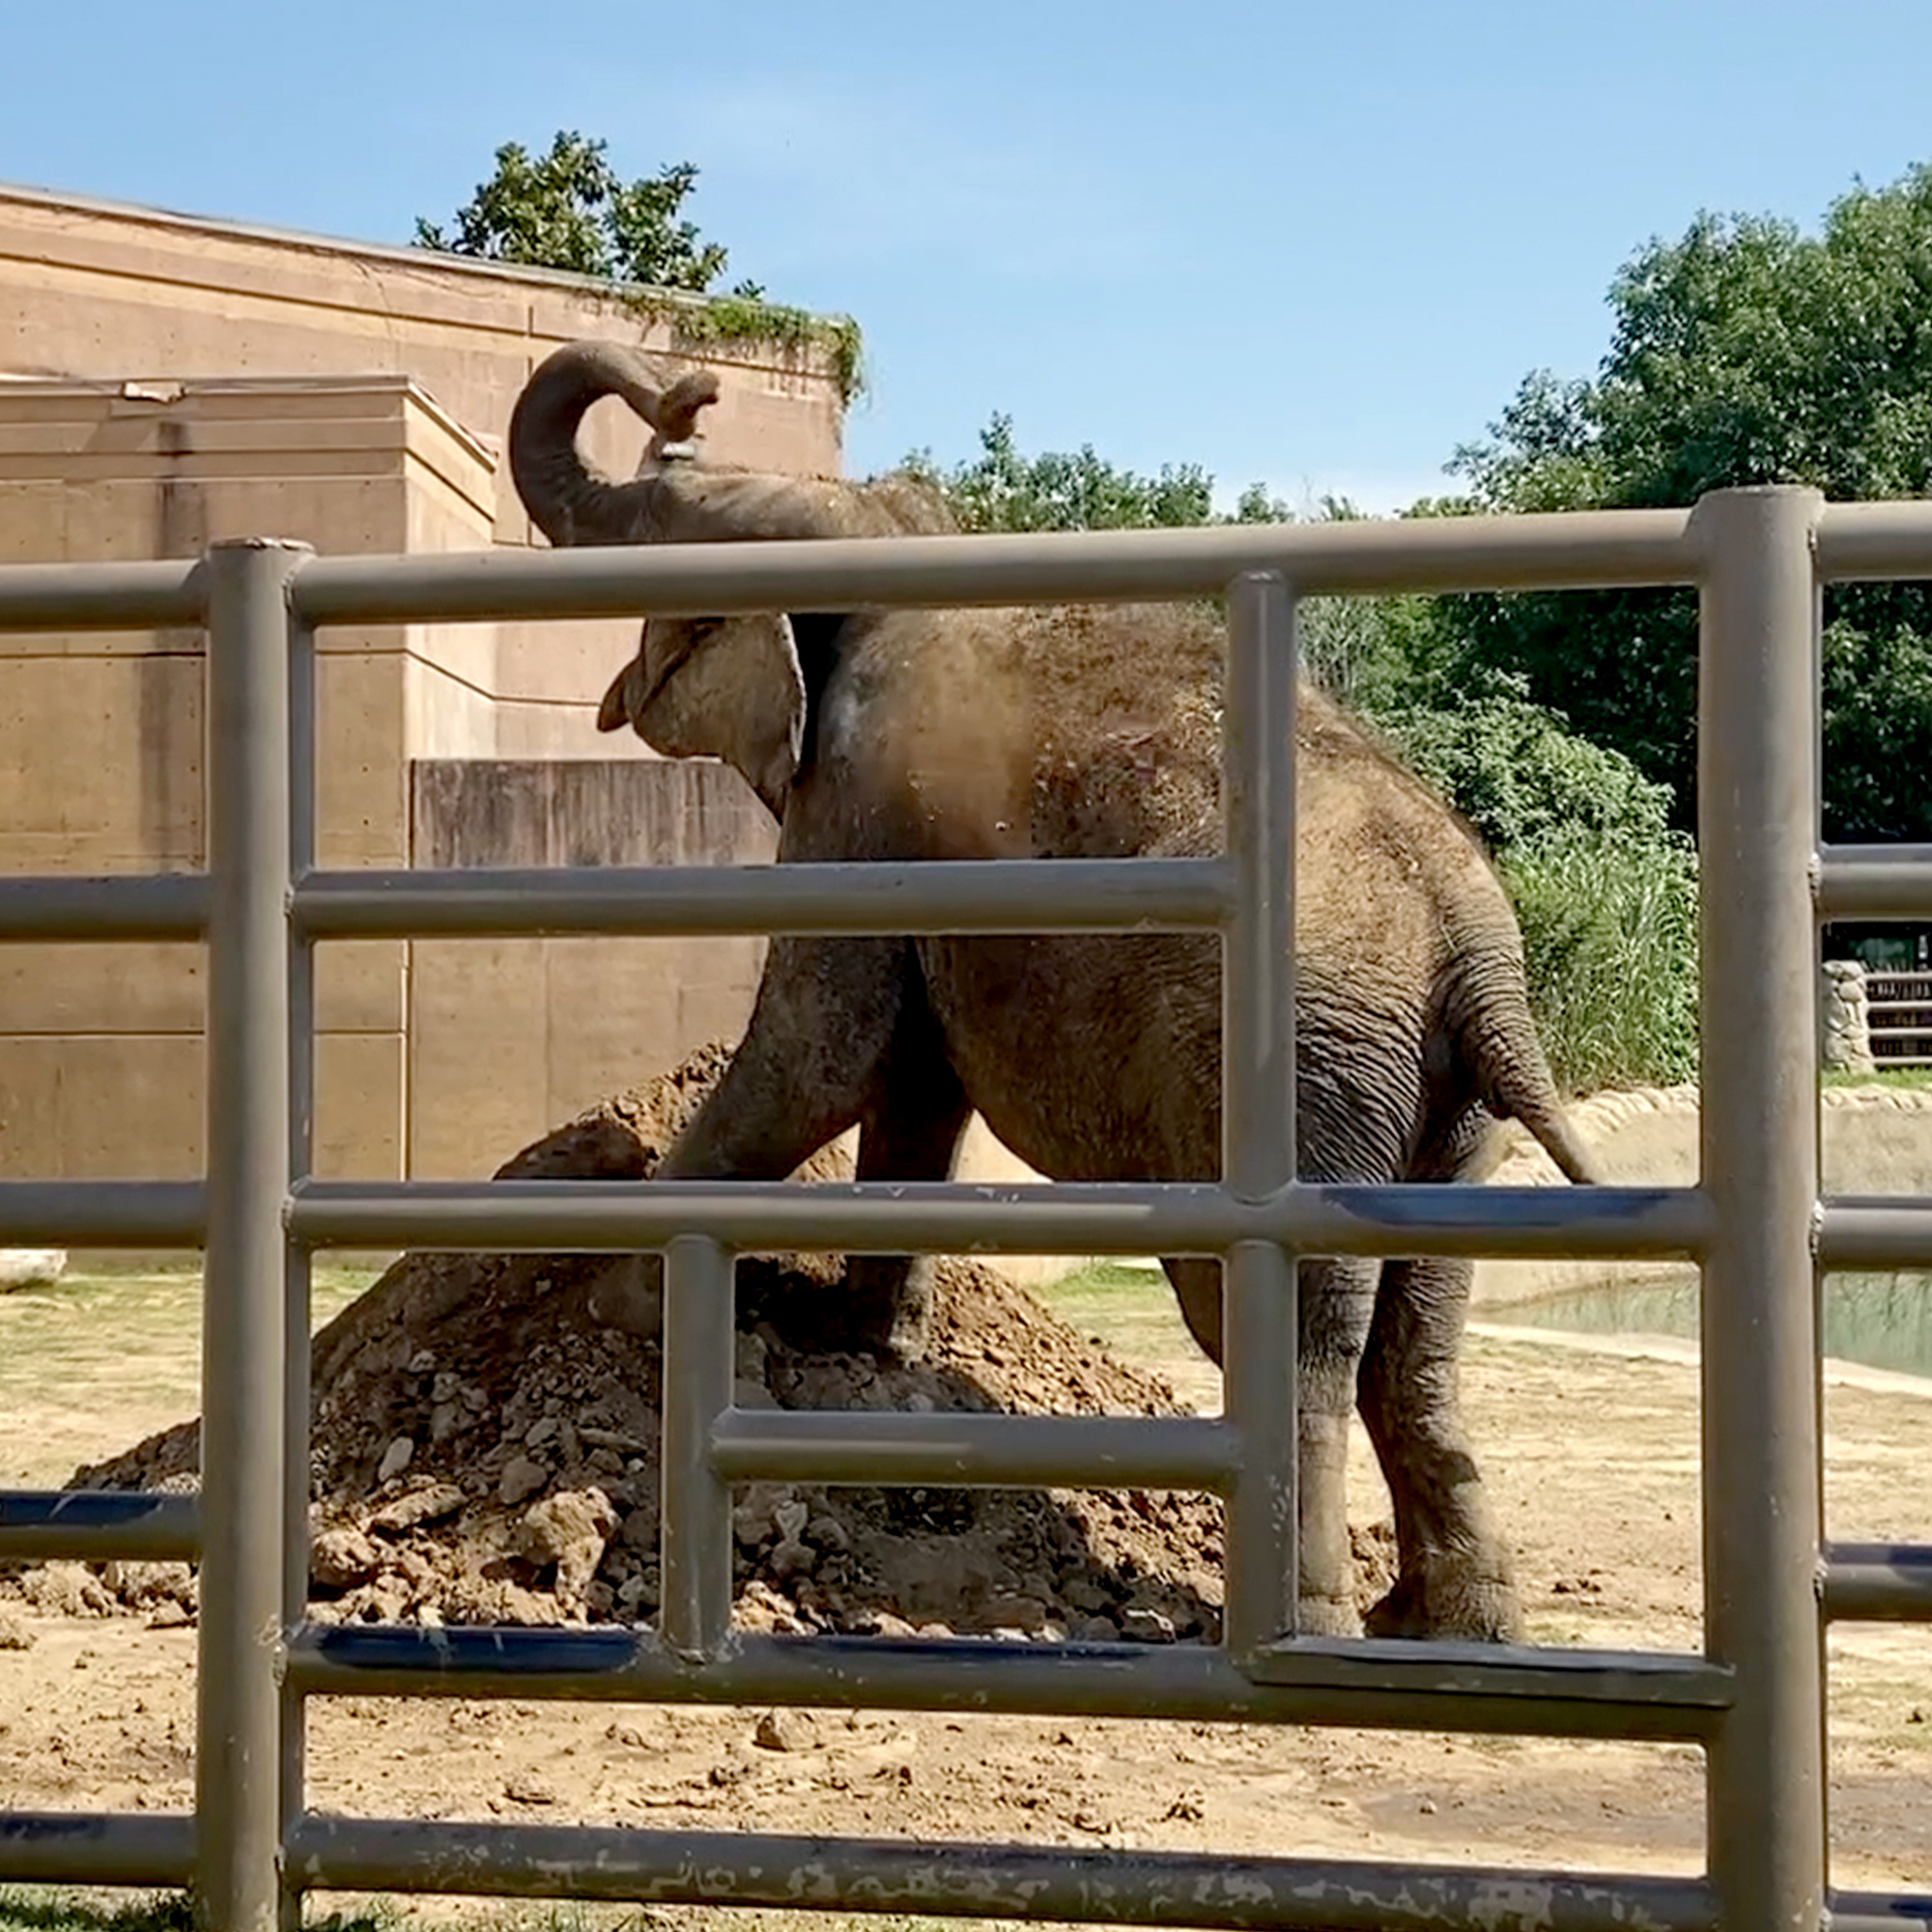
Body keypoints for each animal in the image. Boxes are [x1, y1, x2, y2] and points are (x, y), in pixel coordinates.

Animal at [508, 339, 1601, 1644]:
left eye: (665, 501)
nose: (687, 390)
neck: (883, 533)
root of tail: (1467, 946)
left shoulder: (856, 810)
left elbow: (818, 1058)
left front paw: (622, 1299)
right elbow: (910, 1088)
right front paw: (856, 1340)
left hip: (1296, 1075)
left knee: (1284, 1327)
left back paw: (1299, 1629)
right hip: (1438, 1104)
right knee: (1415, 1330)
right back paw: (1443, 1627)